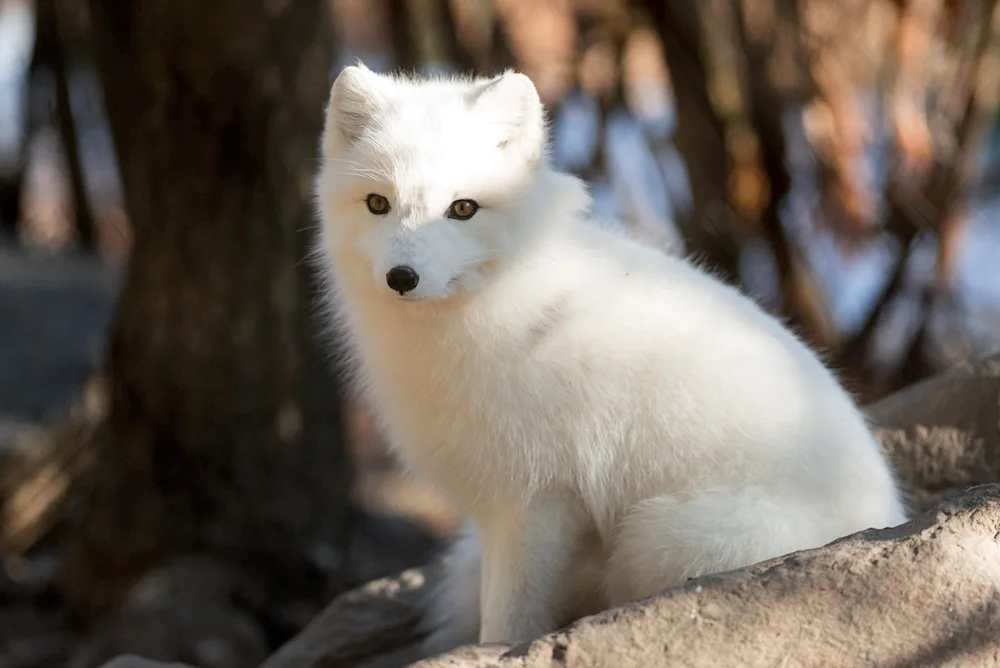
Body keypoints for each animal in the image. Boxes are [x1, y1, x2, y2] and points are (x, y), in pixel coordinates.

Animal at [316, 65, 912, 656]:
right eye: (378, 203)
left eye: (463, 208)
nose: (402, 278)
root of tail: (887, 511)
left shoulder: (538, 498)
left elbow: (509, 619)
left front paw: (493, 652)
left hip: (656, 538)